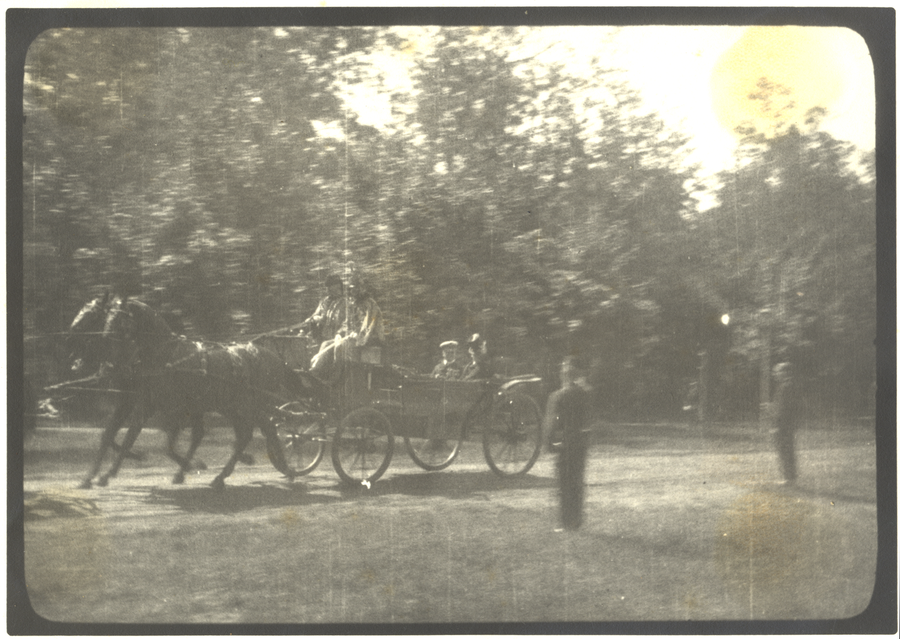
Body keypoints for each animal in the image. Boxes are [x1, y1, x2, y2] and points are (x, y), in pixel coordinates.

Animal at [99, 295, 323, 489]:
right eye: (108, 316)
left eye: (118, 318)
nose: (105, 337)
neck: (167, 355)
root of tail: (275, 359)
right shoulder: (152, 403)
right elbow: (135, 436)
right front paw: (109, 473)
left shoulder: (175, 408)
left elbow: (165, 442)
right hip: (235, 406)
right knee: (253, 433)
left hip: (250, 405)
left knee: (261, 431)